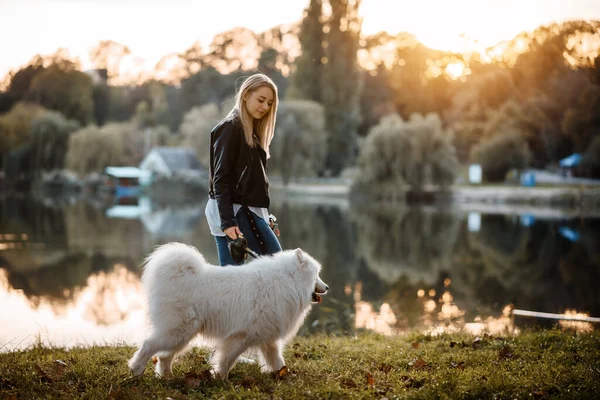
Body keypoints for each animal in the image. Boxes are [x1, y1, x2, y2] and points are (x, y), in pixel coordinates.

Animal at [126, 242, 328, 380]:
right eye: (317, 275)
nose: (326, 287)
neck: (286, 281)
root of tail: (178, 275)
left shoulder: (267, 337)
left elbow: (276, 359)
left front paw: (283, 374)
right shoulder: (241, 336)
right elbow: (227, 359)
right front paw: (220, 377)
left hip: (182, 336)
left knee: (163, 355)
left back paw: (166, 376)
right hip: (178, 331)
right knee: (148, 345)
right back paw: (136, 369)